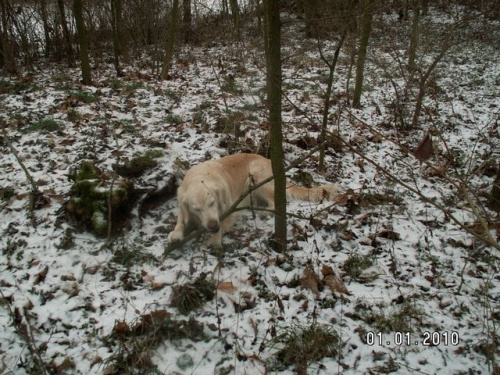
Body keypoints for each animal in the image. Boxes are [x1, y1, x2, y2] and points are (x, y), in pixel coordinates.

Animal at [166, 153, 338, 247]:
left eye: (212, 203)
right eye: (197, 209)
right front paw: (176, 234)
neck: (199, 177)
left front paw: (214, 239)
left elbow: (224, 223)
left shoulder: (230, 210)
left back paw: (266, 212)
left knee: (275, 201)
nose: (212, 226)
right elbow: (181, 220)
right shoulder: (184, 207)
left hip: (256, 177)